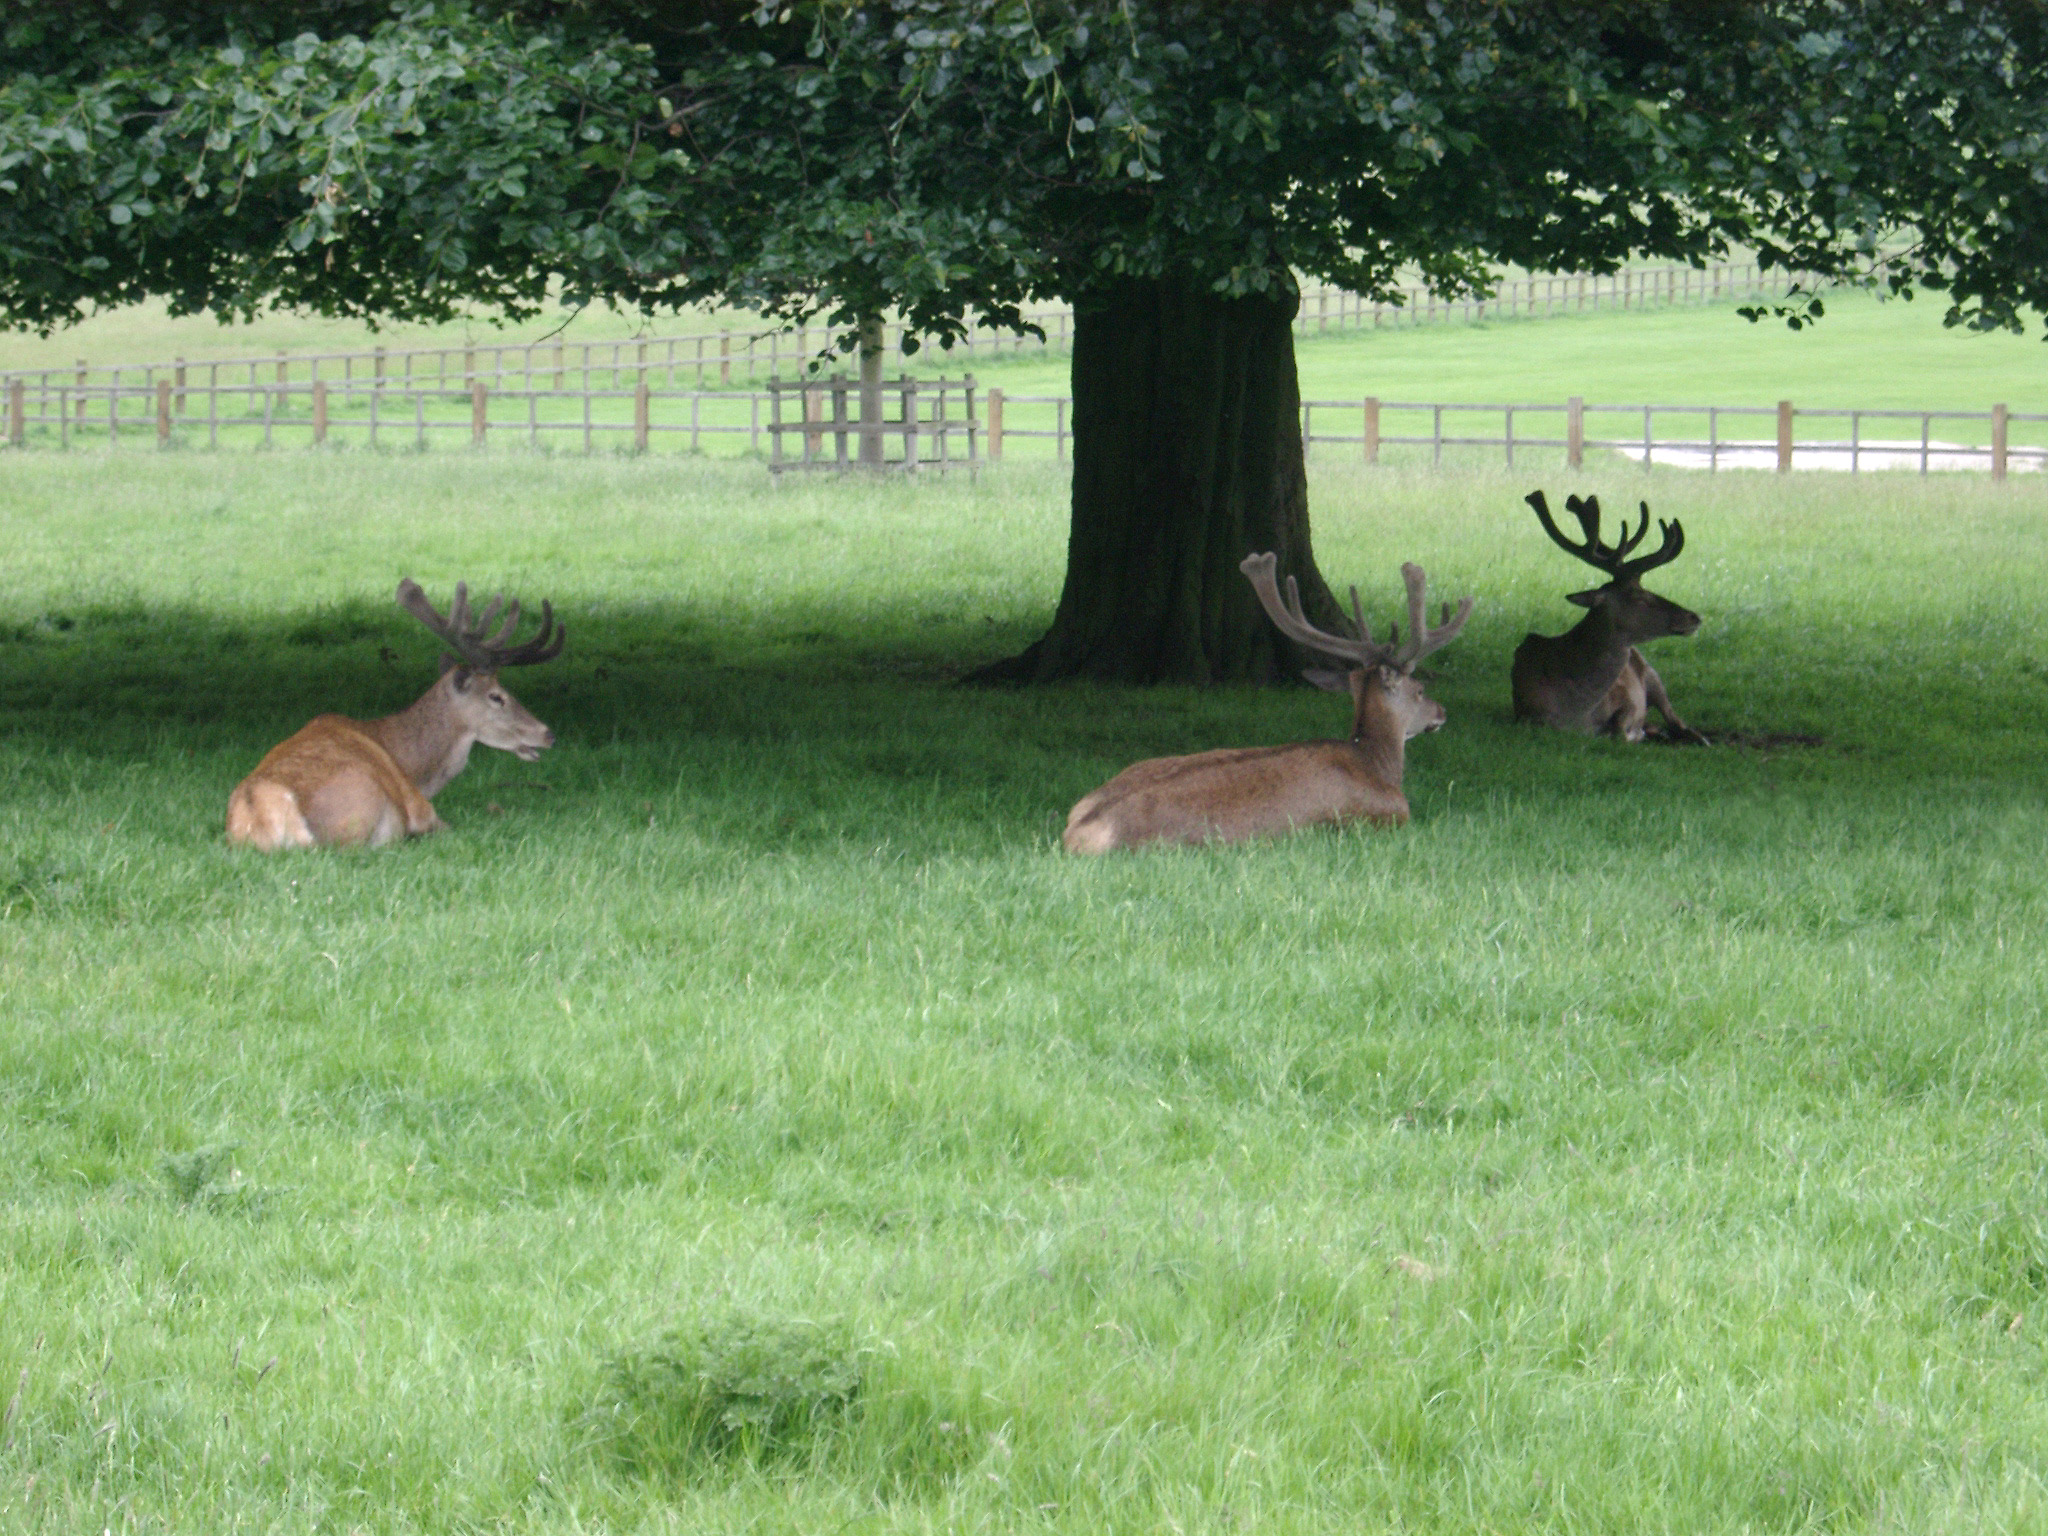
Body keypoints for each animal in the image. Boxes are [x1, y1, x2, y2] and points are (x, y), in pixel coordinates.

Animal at [1511, 490, 1708, 743]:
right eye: (1639, 596)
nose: (1693, 617)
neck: (1574, 714)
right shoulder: (1526, 715)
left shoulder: (1627, 702)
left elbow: (1621, 728)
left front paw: (1634, 733)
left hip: (1653, 675)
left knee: (1676, 720)